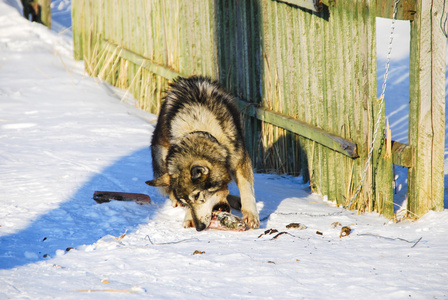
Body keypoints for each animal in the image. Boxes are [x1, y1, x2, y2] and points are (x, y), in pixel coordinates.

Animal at [147, 76, 260, 231]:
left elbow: (246, 187)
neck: (200, 130)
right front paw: (189, 217)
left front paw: (251, 214)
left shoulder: (240, 158)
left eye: (197, 196)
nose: (199, 227)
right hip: (161, 154)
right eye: (187, 202)